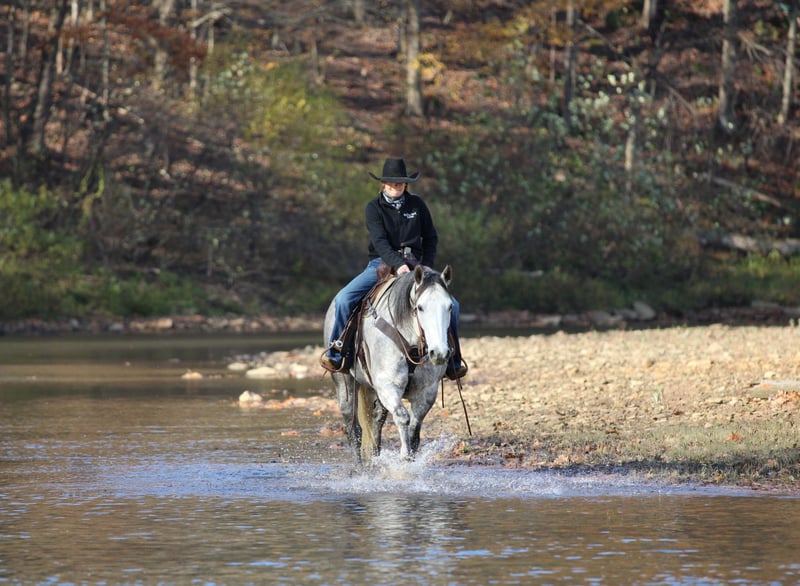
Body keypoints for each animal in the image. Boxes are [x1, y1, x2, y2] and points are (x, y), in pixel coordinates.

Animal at [323, 264, 454, 464]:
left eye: (450, 307)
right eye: (420, 307)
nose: (439, 353)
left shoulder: (427, 392)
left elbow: (414, 428)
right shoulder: (387, 386)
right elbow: (402, 417)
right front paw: (405, 456)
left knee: (376, 420)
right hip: (343, 384)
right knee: (354, 430)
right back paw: (360, 466)